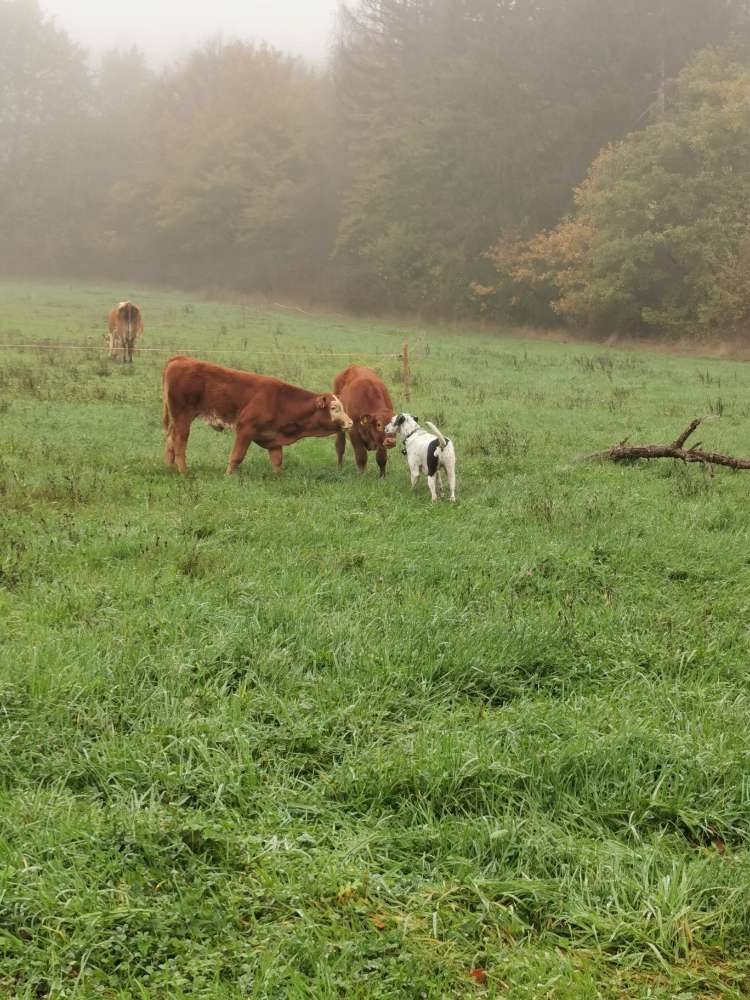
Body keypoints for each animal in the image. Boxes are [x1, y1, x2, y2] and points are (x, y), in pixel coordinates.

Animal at [162, 354, 356, 474]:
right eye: (334, 408)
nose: (350, 423)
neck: (280, 401)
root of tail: (180, 358)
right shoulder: (245, 429)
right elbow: (236, 457)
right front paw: (228, 476)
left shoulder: (274, 438)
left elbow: (277, 461)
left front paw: (279, 478)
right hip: (183, 417)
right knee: (179, 443)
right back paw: (184, 472)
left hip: (177, 419)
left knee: (170, 440)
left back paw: (170, 469)